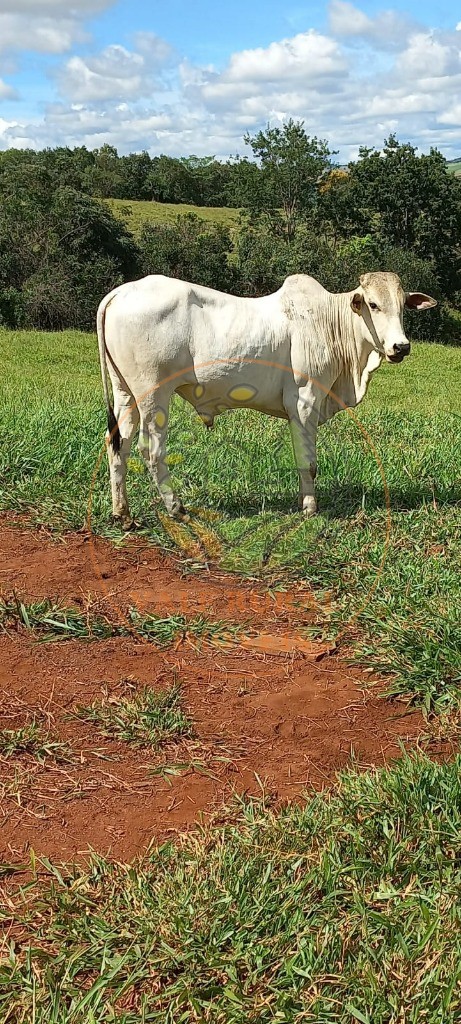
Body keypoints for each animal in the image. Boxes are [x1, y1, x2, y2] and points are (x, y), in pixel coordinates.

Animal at [96, 270, 436, 524]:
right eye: (373, 305)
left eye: (403, 306)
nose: (400, 346)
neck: (330, 323)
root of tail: (120, 293)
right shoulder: (304, 401)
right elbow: (308, 462)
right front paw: (310, 508)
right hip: (153, 394)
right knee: (150, 450)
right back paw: (176, 508)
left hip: (125, 393)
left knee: (118, 444)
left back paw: (122, 513)